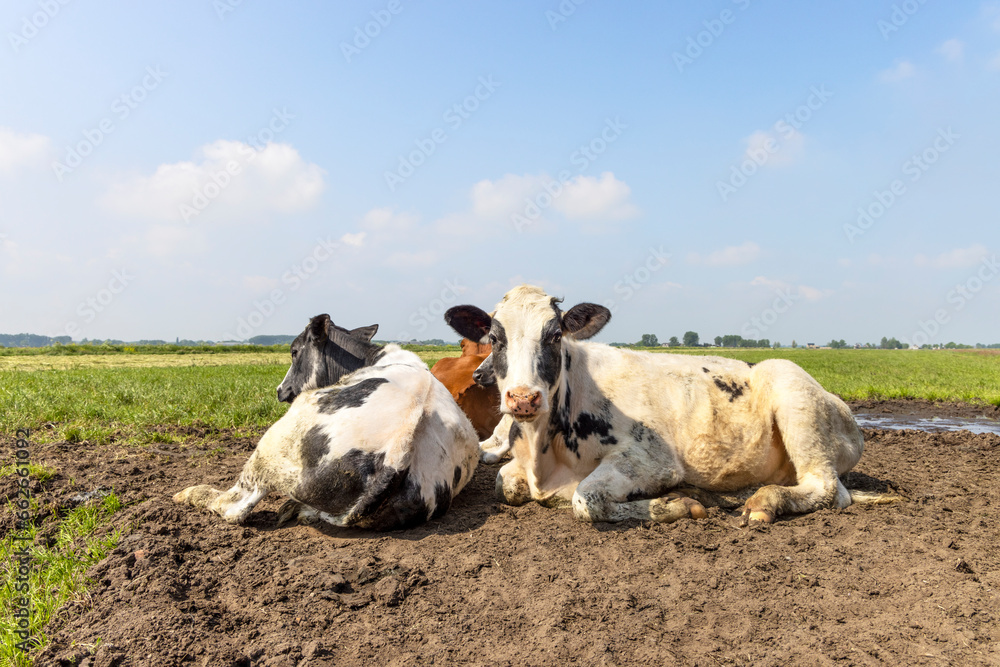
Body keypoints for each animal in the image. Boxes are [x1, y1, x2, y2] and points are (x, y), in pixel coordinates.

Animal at [174, 314, 480, 530]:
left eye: (294, 351)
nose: (280, 390)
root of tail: (399, 449)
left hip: (273, 447)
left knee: (234, 506)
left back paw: (188, 493)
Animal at [445, 285, 894, 525]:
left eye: (555, 335)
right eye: (495, 338)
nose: (523, 398)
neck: (543, 452)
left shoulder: (654, 460)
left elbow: (585, 500)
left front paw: (677, 502)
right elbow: (505, 483)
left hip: (794, 397)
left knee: (828, 489)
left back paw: (764, 502)